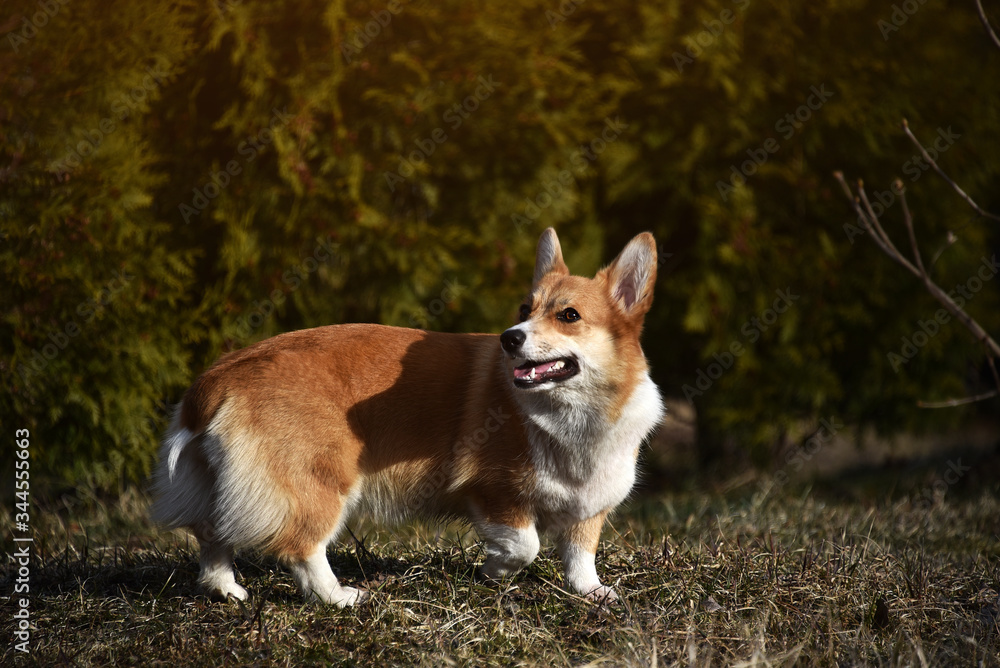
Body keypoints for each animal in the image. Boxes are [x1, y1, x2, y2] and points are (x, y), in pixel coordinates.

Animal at [150, 228, 664, 604]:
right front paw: (494, 571)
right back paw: (340, 597)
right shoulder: (495, 492)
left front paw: (592, 592)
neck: (576, 412)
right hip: (319, 482)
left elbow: (580, 554)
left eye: (569, 315)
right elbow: (525, 546)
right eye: (525, 308)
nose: (509, 337)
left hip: (222, 483)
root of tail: (216, 380)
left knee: (213, 536)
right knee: (301, 548)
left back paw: (227, 591)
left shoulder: (591, 503)